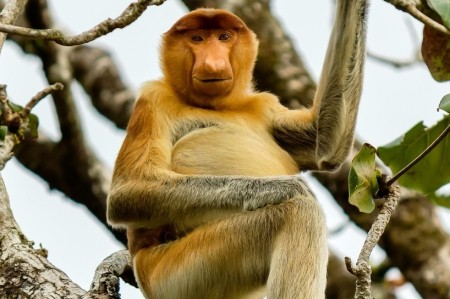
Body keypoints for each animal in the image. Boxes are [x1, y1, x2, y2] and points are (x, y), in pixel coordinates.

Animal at [107, 1, 368, 298]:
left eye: (224, 37)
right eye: (197, 39)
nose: (212, 62)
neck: (215, 105)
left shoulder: (264, 106)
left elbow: (323, 146)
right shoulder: (153, 99)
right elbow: (127, 190)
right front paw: (289, 187)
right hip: (179, 271)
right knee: (297, 214)